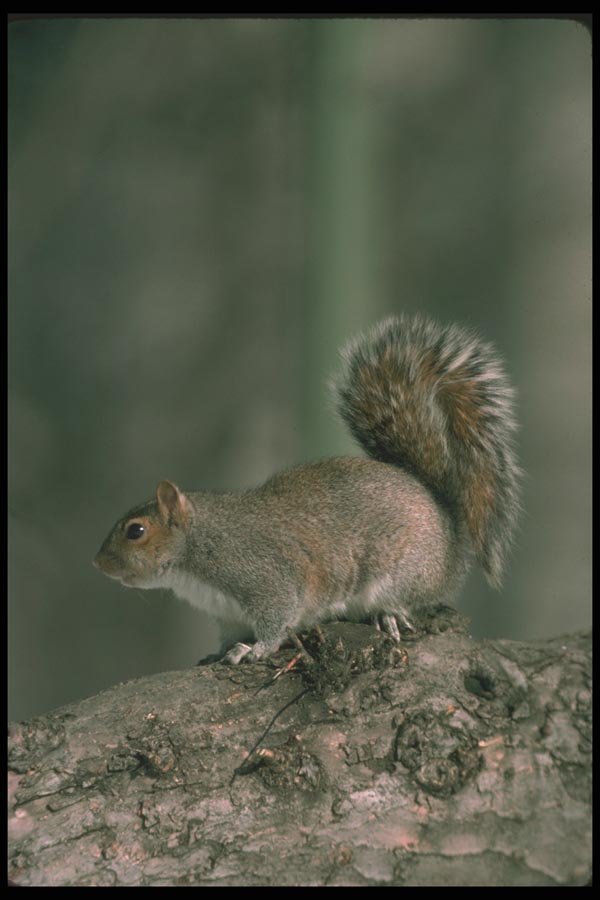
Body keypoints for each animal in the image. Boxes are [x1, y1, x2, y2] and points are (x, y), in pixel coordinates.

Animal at [94, 314, 522, 664]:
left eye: (136, 531)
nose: (97, 564)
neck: (199, 546)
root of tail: (445, 515)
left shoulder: (266, 577)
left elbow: (277, 618)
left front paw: (255, 650)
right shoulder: (228, 613)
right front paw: (220, 651)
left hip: (405, 570)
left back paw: (388, 614)